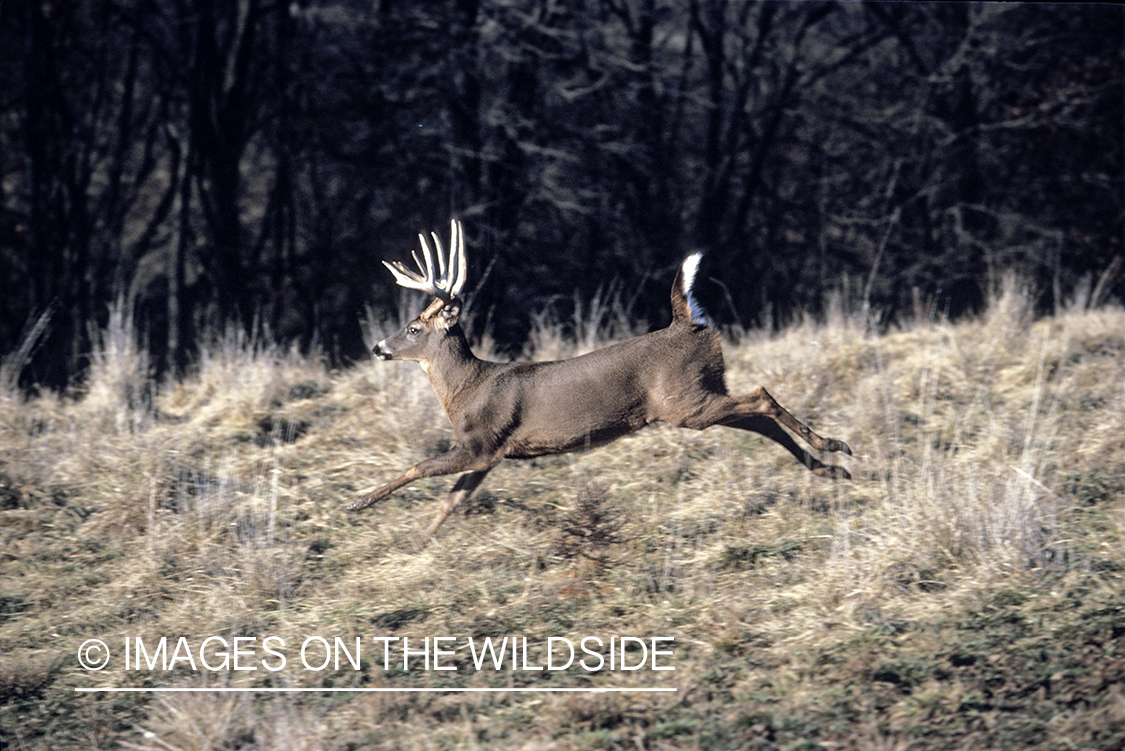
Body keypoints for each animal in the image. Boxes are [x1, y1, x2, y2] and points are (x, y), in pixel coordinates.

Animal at [348, 220, 846, 548]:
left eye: (414, 327)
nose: (377, 346)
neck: (465, 390)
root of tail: (689, 323)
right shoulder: (491, 454)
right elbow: (451, 501)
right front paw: (417, 545)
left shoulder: (480, 442)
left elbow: (419, 469)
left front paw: (360, 503)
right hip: (699, 393)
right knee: (756, 416)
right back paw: (829, 468)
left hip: (682, 402)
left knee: (760, 398)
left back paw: (835, 446)